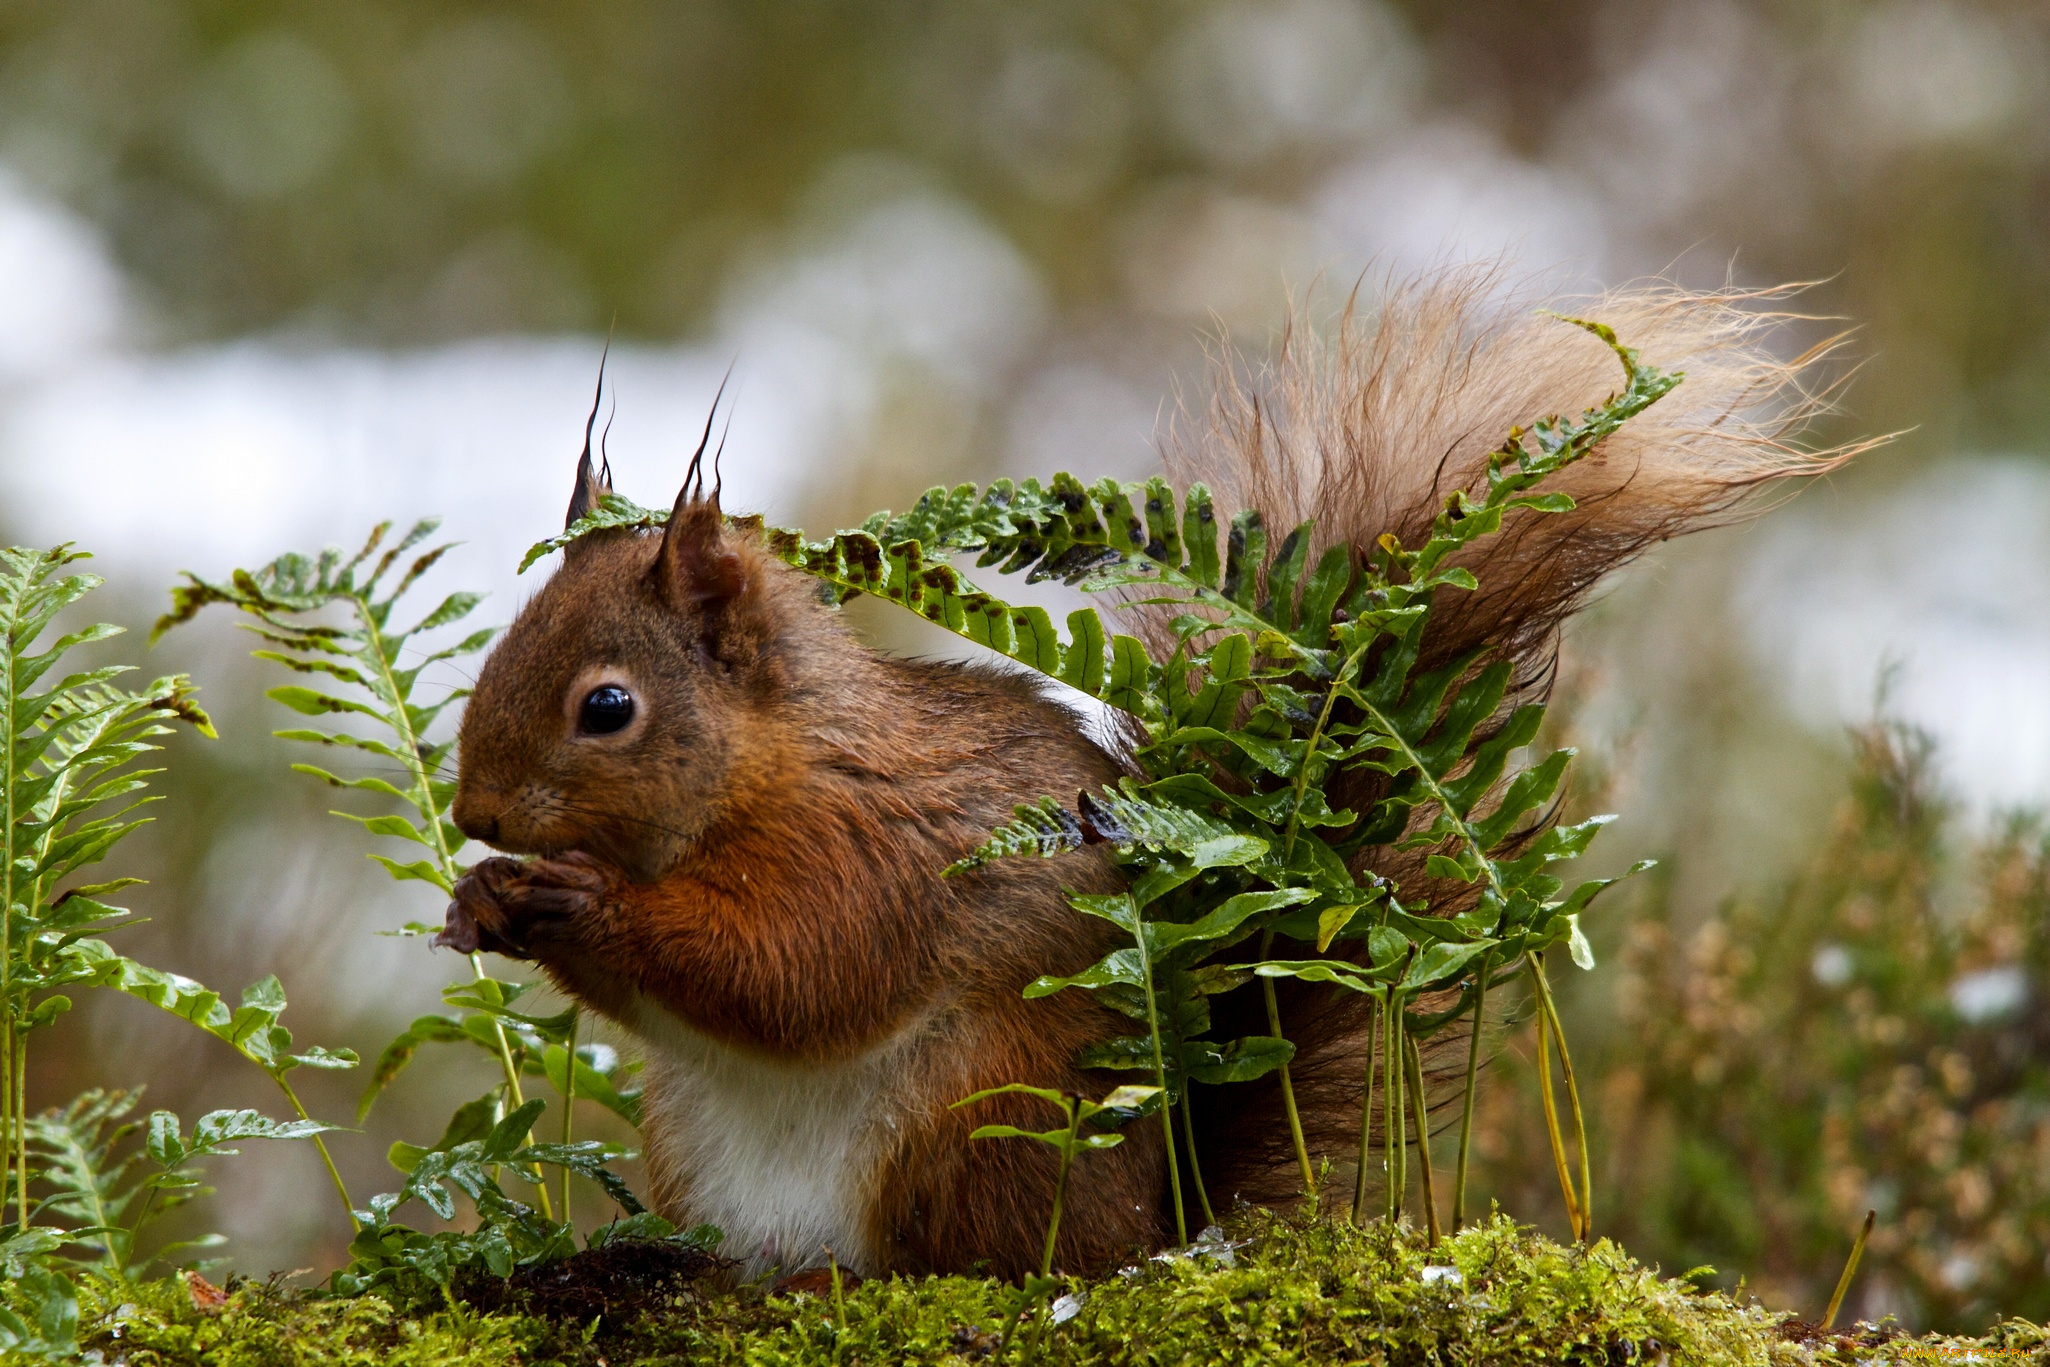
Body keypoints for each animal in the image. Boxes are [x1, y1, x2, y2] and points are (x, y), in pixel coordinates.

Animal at [440, 272, 1853, 1278]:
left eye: (607, 707)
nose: (473, 813)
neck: (770, 767)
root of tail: (1157, 1221)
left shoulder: (870, 846)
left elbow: (791, 970)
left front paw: (572, 897)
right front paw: (485, 901)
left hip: (975, 1116)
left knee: (983, 1259)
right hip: (696, 1138)